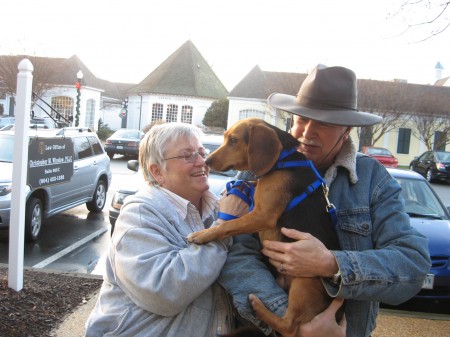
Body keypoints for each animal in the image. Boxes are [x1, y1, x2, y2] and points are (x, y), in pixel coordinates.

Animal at [186, 118, 342, 336]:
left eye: (233, 141)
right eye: (225, 137)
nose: (206, 162)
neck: (282, 160)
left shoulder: (263, 215)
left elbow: (229, 225)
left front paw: (202, 234)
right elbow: (251, 184)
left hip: (305, 281)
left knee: (289, 326)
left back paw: (257, 306)